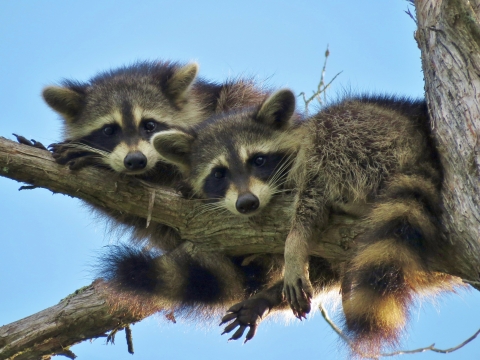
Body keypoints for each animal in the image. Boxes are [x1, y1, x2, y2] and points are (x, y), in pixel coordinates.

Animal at [153, 89, 462, 352]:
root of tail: (425, 148)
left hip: (373, 131)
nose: (247, 203)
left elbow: (311, 194)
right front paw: (268, 296)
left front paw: (295, 245)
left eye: (258, 160)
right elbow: (325, 270)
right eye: (219, 174)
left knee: (326, 139)